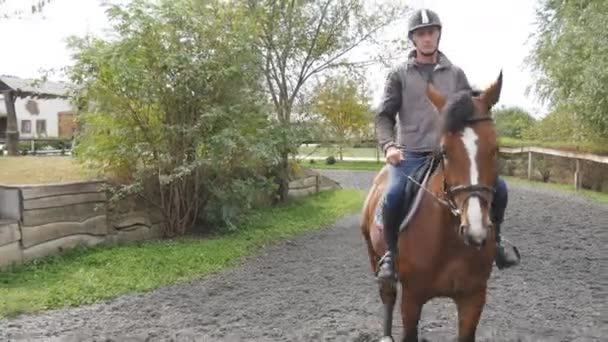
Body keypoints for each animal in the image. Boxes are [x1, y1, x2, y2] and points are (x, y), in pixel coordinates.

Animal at [360, 73, 504, 342]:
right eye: (445, 151)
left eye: (496, 149)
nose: (475, 230)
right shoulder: (412, 298)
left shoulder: (474, 298)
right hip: (374, 255)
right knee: (387, 295)